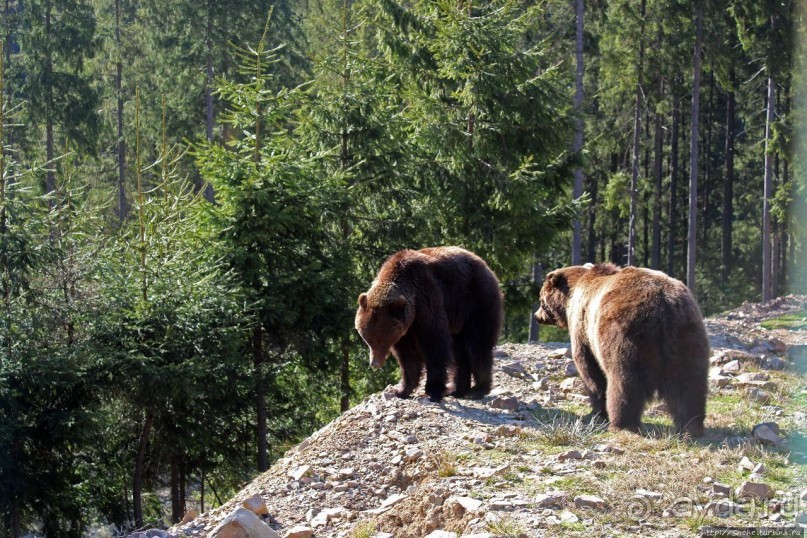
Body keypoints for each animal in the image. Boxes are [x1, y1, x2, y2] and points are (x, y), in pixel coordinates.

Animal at [356, 245, 502, 400]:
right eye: (367, 339)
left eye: (382, 340)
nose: (374, 363)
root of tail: (485, 265)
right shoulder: (405, 328)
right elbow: (408, 356)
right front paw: (402, 390)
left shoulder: (428, 297)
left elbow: (434, 343)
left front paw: (433, 389)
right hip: (457, 320)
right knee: (459, 351)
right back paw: (457, 390)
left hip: (477, 300)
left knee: (478, 344)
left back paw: (477, 390)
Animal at [536, 262, 708, 434]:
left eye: (541, 298)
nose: (537, 317)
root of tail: (664, 307)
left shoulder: (582, 329)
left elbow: (589, 369)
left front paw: (596, 411)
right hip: (687, 335)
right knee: (688, 383)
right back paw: (691, 425)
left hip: (627, 336)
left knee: (625, 382)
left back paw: (621, 423)